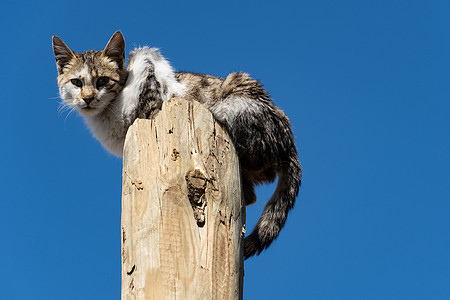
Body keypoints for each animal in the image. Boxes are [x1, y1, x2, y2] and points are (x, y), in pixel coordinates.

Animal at [53, 31, 302, 260]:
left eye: (103, 80)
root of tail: (289, 144)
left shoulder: (150, 83)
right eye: (76, 82)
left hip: (230, 106)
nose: (87, 98)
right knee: (249, 196)